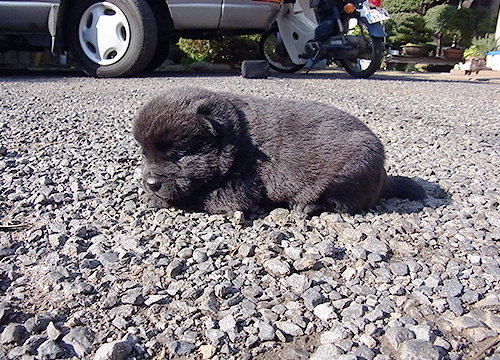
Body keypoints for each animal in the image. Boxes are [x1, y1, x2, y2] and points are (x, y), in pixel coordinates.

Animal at [131, 87, 424, 215]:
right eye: (144, 153)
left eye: (179, 155)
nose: (152, 182)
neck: (237, 138)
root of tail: (384, 176)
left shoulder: (238, 191)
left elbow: (197, 197)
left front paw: (157, 200)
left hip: (350, 170)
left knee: (341, 203)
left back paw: (305, 205)